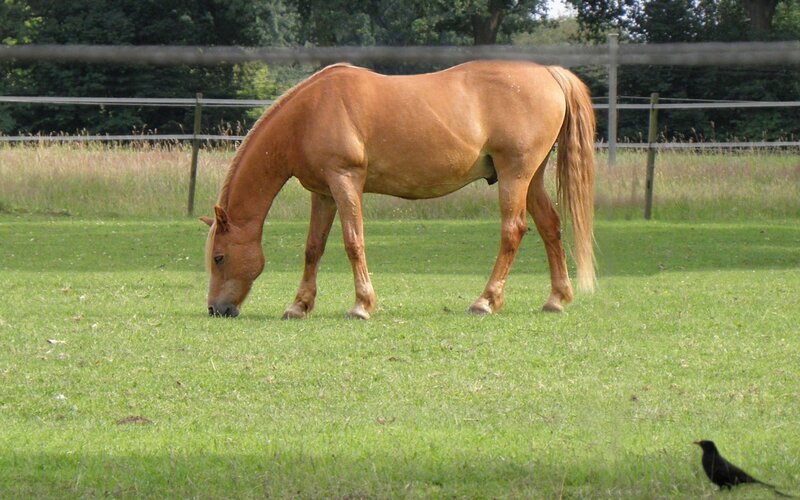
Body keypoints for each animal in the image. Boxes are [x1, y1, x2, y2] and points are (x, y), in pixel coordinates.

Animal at [202, 60, 596, 320]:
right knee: (550, 226)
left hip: (515, 176)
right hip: (531, 179)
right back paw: (556, 299)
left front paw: (362, 305)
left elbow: (353, 242)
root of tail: (548, 73)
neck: (308, 114)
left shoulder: (345, 181)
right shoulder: (323, 192)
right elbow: (313, 248)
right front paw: (299, 305)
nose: (217, 309)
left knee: (513, 231)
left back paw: (485, 300)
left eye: (219, 257)